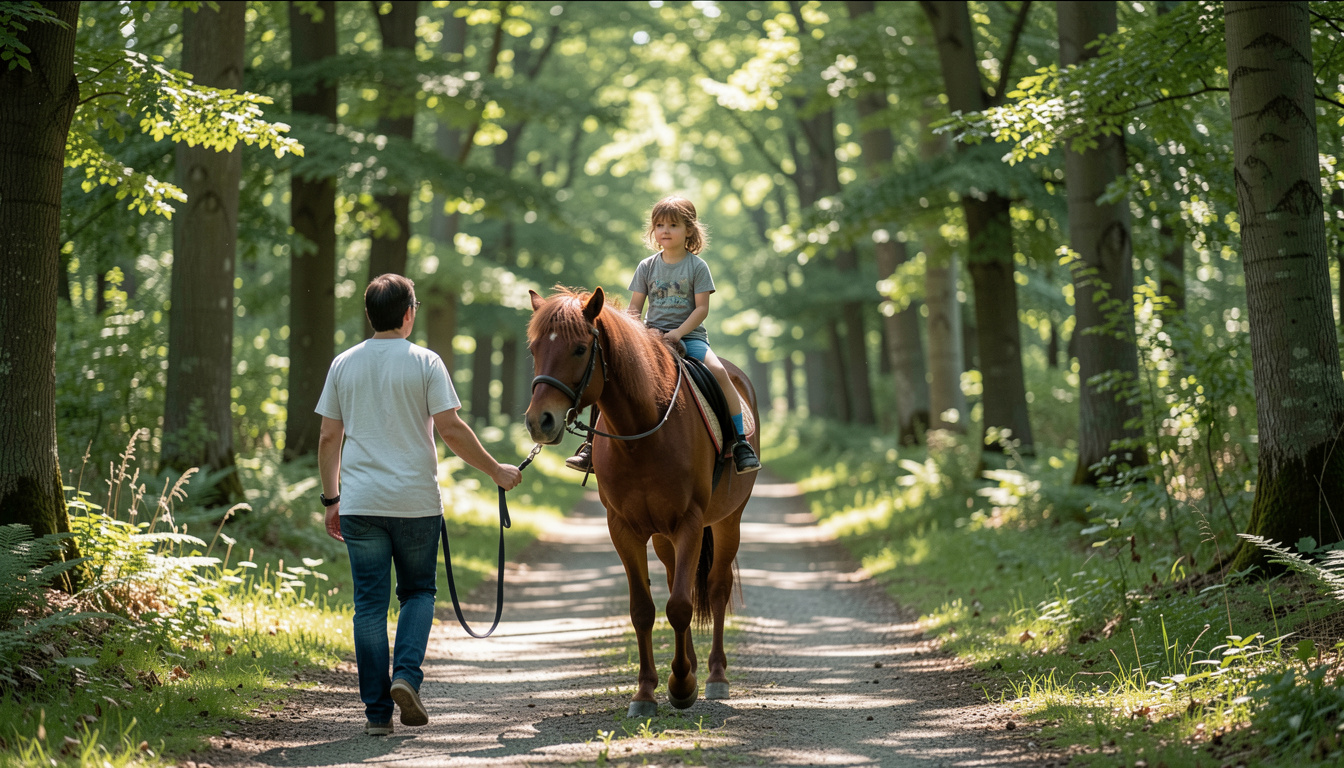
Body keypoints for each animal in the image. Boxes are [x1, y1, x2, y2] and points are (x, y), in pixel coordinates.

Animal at [524, 286, 759, 717]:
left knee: (715, 588)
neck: (642, 433)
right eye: (534, 348)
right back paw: (693, 666)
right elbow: (644, 609)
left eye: (580, 349)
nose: (539, 421)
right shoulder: (623, 528)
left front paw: (681, 687)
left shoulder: (689, 522)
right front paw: (647, 693)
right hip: (666, 536)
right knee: (674, 580)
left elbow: (680, 605)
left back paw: (714, 675)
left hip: (726, 521)